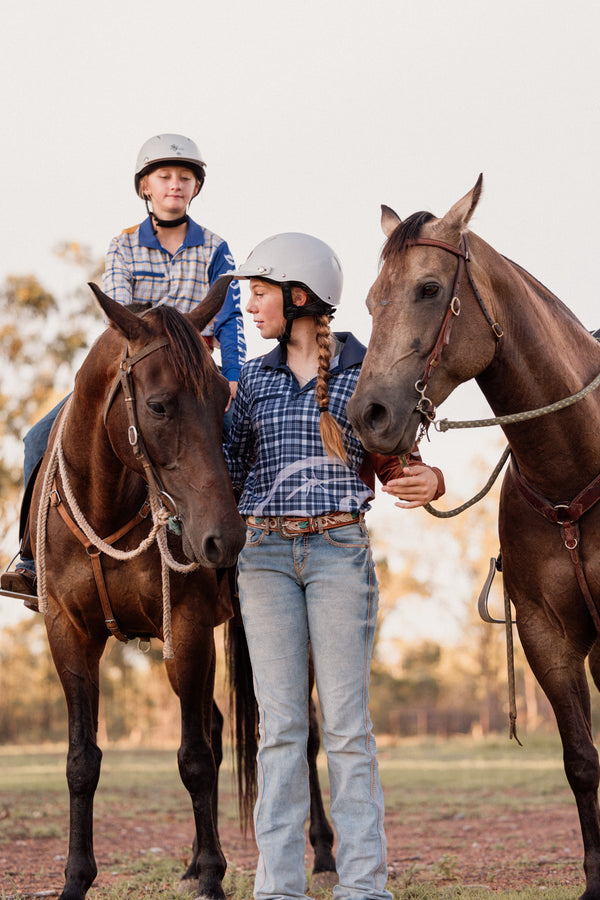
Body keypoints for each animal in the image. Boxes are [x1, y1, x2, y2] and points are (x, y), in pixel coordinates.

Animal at [346, 174, 600, 892]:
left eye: (429, 289)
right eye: (371, 300)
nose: (369, 415)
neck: (576, 471)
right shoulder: (547, 635)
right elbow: (581, 761)